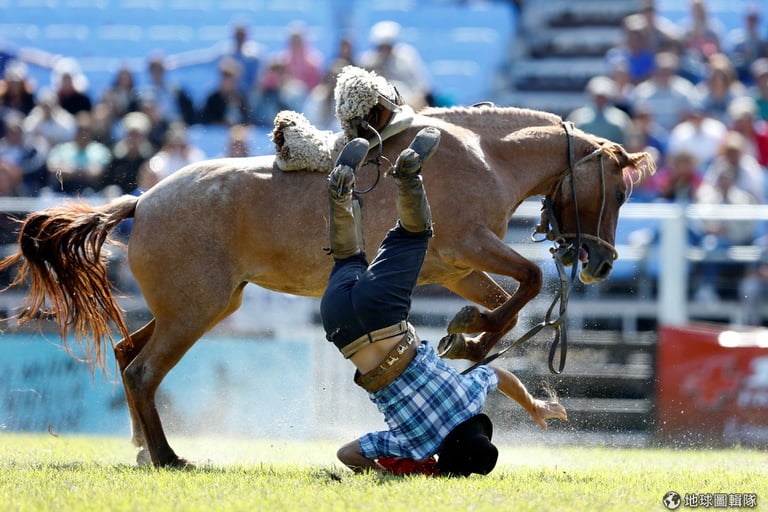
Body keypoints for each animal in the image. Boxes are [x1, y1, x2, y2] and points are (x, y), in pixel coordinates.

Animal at [0, 106, 656, 466]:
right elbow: (532, 279)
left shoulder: (455, 268)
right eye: (618, 192)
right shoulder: (467, 249)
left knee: (126, 354)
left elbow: (508, 306)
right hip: (194, 312)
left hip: (197, 307)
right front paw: (472, 338)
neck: (483, 155)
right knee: (141, 371)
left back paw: (142, 446)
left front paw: (471, 338)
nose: (601, 265)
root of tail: (144, 199)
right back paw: (166, 456)